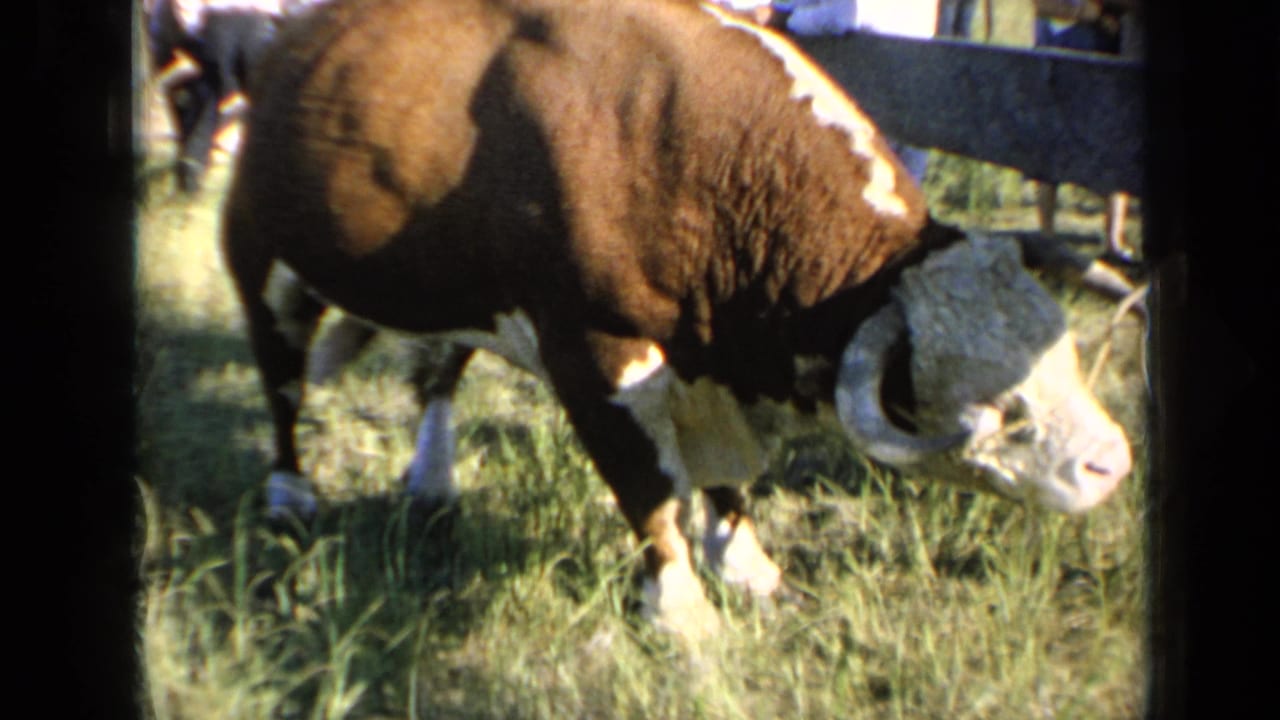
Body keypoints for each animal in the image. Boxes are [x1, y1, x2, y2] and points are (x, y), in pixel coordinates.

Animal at [222, 0, 1132, 640]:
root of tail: (286, 38)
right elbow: (651, 490)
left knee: (438, 369)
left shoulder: (705, 363)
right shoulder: (595, 355)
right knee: (282, 383)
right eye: (999, 406)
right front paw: (681, 611)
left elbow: (725, 482)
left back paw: (433, 478)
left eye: (1060, 356)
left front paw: (749, 567)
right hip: (261, 260)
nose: (1111, 463)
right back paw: (290, 492)